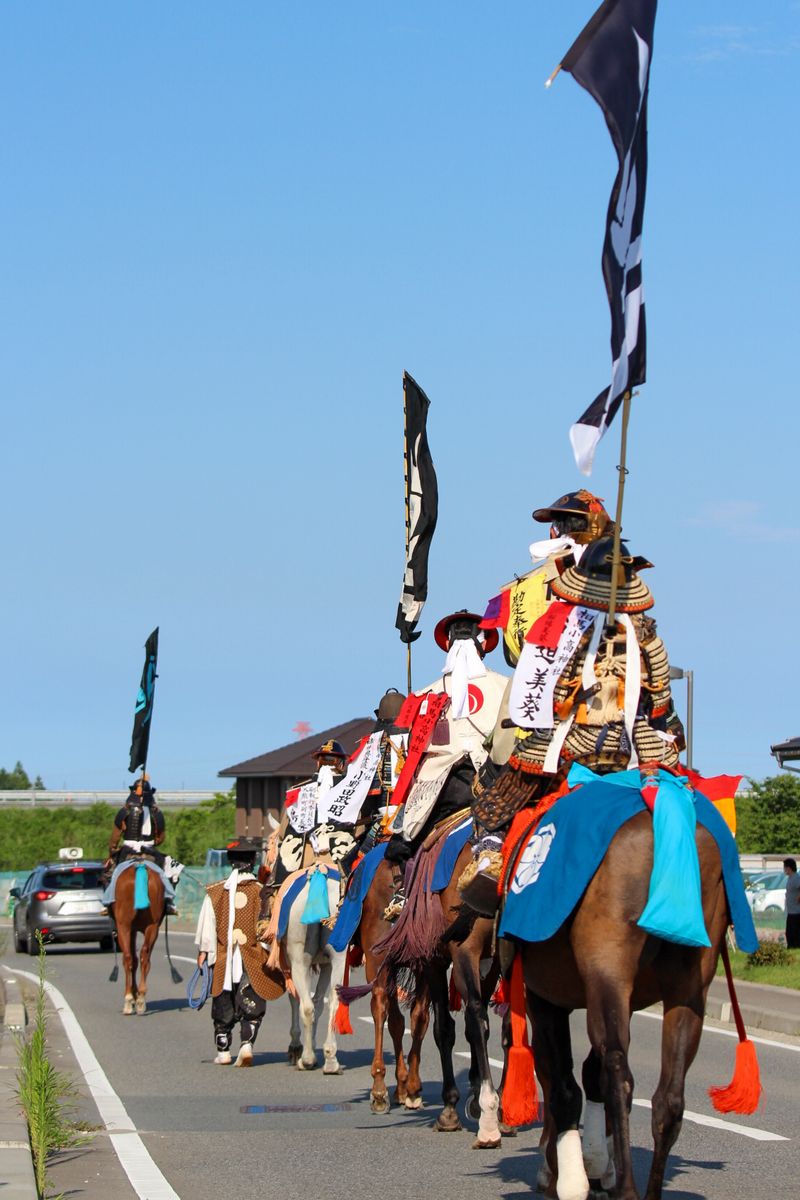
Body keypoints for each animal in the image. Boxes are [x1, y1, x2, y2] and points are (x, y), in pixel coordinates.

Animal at [108, 859, 165, 1017]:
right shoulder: (135, 930)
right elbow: (136, 959)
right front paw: (136, 996)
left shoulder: (129, 929)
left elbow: (131, 959)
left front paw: (132, 996)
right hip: (153, 926)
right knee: (145, 956)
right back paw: (141, 999)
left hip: (124, 925)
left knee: (128, 957)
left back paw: (129, 1000)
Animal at [281, 868, 347, 1075]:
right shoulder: (327, 964)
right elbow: (319, 1003)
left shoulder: (290, 962)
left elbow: (297, 999)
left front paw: (296, 1047)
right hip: (340, 954)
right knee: (334, 1002)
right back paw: (331, 1059)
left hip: (298, 955)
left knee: (306, 1006)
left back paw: (307, 1059)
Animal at [510, 806, 743, 1200]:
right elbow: (582, 1074)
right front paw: (590, 1167)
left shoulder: (545, 995)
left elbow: (560, 1083)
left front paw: (566, 1174)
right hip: (687, 987)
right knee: (669, 1097)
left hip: (608, 965)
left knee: (618, 1076)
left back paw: (623, 1188)